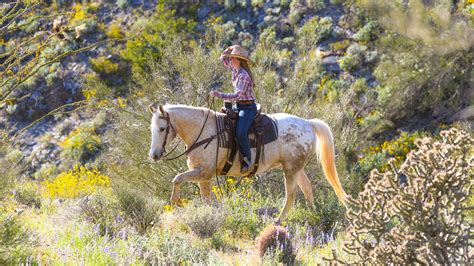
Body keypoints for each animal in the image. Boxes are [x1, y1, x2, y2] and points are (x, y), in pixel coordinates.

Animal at [149, 103, 348, 223]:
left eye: (162, 128)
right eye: (152, 129)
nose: (154, 155)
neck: (203, 132)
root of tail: (308, 123)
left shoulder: (203, 172)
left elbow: (177, 179)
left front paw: (174, 203)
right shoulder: (204, 177)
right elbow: (206, 200)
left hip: (291, 170)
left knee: (291, 195)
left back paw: (278, 221)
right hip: (296, 168)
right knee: (307, 188)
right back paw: (313, 214)